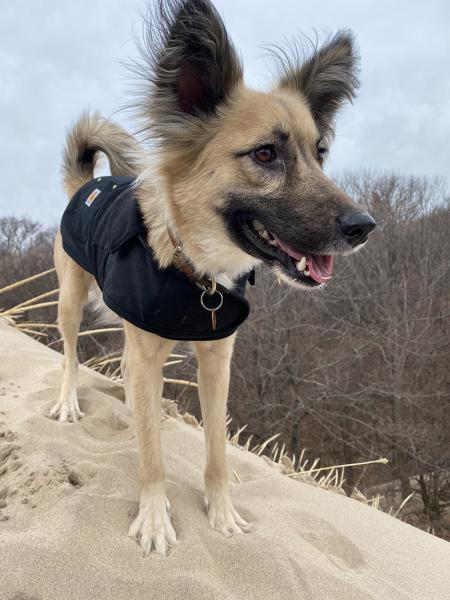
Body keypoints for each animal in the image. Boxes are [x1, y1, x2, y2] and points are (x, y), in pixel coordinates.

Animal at [51, 0, 376, 556]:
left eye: (320, 154)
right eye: (265, 154)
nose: (364, 227)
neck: (199, 273)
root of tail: (86, 185)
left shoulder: (218, 358)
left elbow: (218, 445)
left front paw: (222, 512)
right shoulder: (147, 348)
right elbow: (153, 458)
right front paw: (154, 518)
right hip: (71, 299)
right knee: (72, 355)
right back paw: (71, 401)